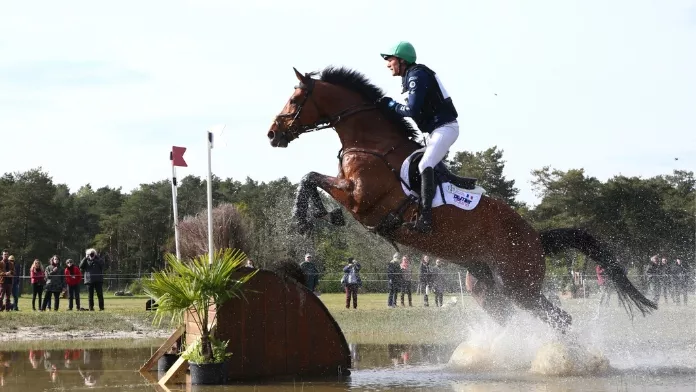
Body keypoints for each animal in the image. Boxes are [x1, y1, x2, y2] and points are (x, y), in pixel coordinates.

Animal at [266, 66, 656, 332]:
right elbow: (310, 178)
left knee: (560, 319)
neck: (371, 143)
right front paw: (319, 215)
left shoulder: (362, 201)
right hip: (489, 290)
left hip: (520, 286)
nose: (272, 134)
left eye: (295, 99)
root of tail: (535, 236)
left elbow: (311, 177)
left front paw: (305, 216)